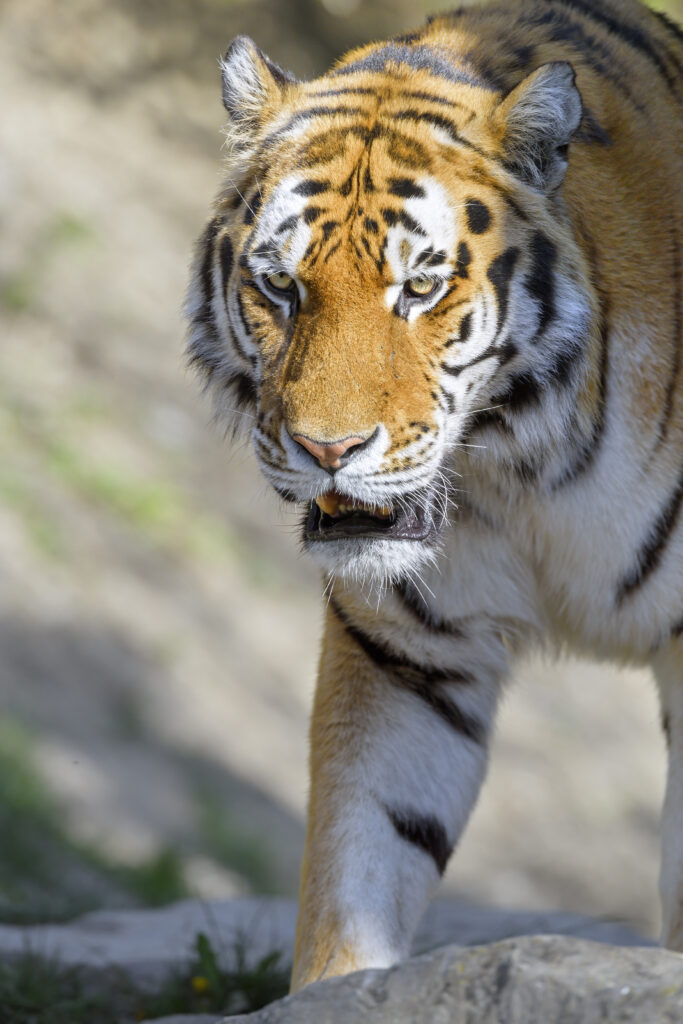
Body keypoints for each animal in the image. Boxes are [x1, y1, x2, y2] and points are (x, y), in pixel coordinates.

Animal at [186, 0, 683, 992]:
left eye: (418, 287)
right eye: (279, 284)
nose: (327, 449)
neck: (523, 468)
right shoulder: (406, 653)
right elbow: (360, 862)